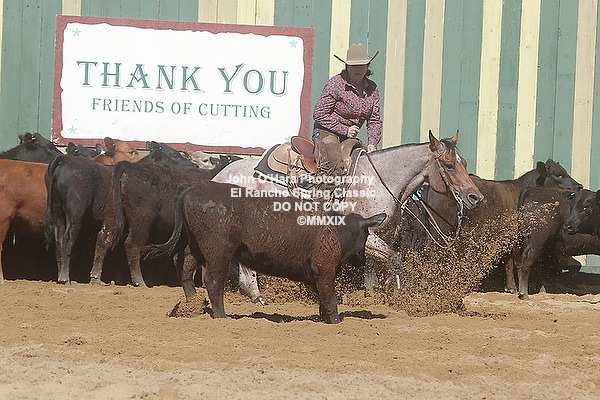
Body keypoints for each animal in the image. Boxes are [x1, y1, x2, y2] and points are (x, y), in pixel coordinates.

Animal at [143, 181, 386, 324]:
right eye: (366, 234)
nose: (363, 259)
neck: (334, 230)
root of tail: (190, 191)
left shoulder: (316, 276)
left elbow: (321, 300)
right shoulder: (325, 271)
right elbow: (330, 299)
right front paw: (335, 320)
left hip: (196, 245)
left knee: (185, 269)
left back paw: (193, 305)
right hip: (218, 250)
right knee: (212, 280)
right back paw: (221, 316)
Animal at [211, 131, 484, 292]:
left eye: (464, 163)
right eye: (448, 165)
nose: (476, 197)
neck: (378, 181)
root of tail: (220, 174)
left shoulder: (381, 236)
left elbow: (375, 269)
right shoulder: (367, 235)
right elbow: (394, 259)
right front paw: (396, 293)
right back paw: (253, 291)